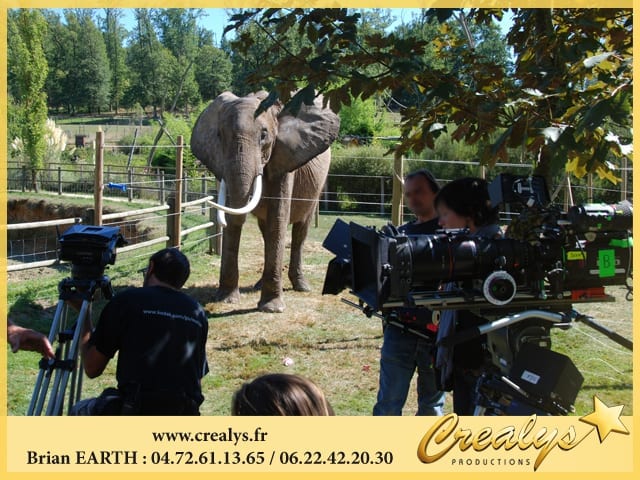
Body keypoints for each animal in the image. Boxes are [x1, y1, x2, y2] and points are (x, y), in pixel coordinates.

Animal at [189, 91, 340, 314]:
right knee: (266, 231)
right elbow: (239, 220)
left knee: (300, 229)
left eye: (263, 135)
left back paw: (301, 287)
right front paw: (226, 300)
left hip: (317, 187)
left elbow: (278, 217)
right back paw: (259, 285)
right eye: (220, 136)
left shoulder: (285, 155)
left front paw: (271, 308)